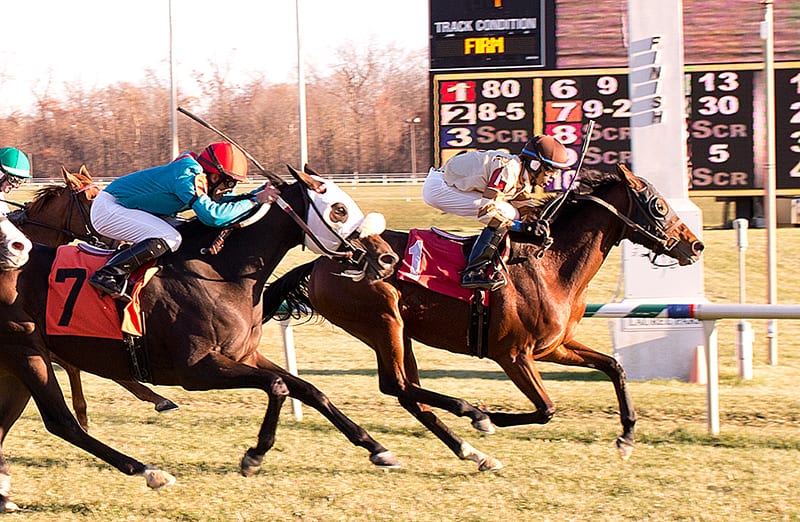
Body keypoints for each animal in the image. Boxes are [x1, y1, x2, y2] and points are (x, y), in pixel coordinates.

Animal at [260, 165, 704, 470]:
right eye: (658, 205)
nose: (695, 245)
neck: (548, 264)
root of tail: (322, 261)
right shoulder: (513, 355)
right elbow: (547, 409)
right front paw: (489, 416)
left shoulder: (555, 346)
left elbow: (615, 367)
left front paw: (626, 436)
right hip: (384, 321)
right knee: (400, 385)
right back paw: (470, 420)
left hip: (399, 330)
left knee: (405, 391)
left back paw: (471, 452)